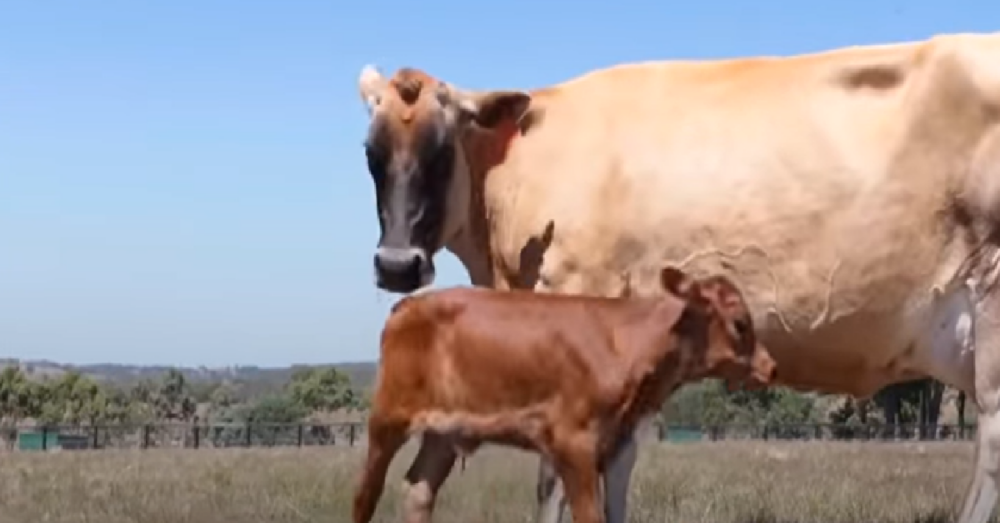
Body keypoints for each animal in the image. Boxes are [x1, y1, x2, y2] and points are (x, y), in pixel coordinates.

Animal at [352, 265, 777, 523]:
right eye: (741, 323)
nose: (771, 366)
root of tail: (409, 302)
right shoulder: (574, 442)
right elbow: (589, 516)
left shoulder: (614, 444)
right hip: (386, 418)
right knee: (366, 495)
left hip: (444, 432)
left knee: (419, 491)